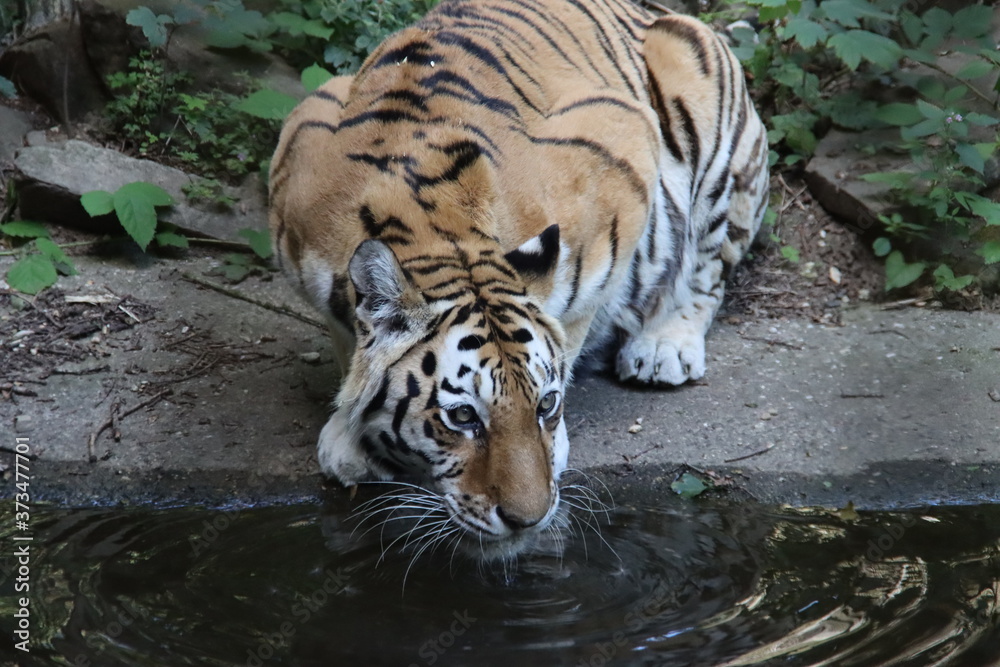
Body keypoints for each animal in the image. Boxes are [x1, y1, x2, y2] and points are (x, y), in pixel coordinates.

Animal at [266, 0, 764, 560]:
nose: (528, 519)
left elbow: (574, 322)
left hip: (712, 135)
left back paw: (663, 348)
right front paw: (351, 437)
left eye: (546, 405)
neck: (437, 229)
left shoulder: (622, 150)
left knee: (709, 264)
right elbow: (346, 338)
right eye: (462, 417)